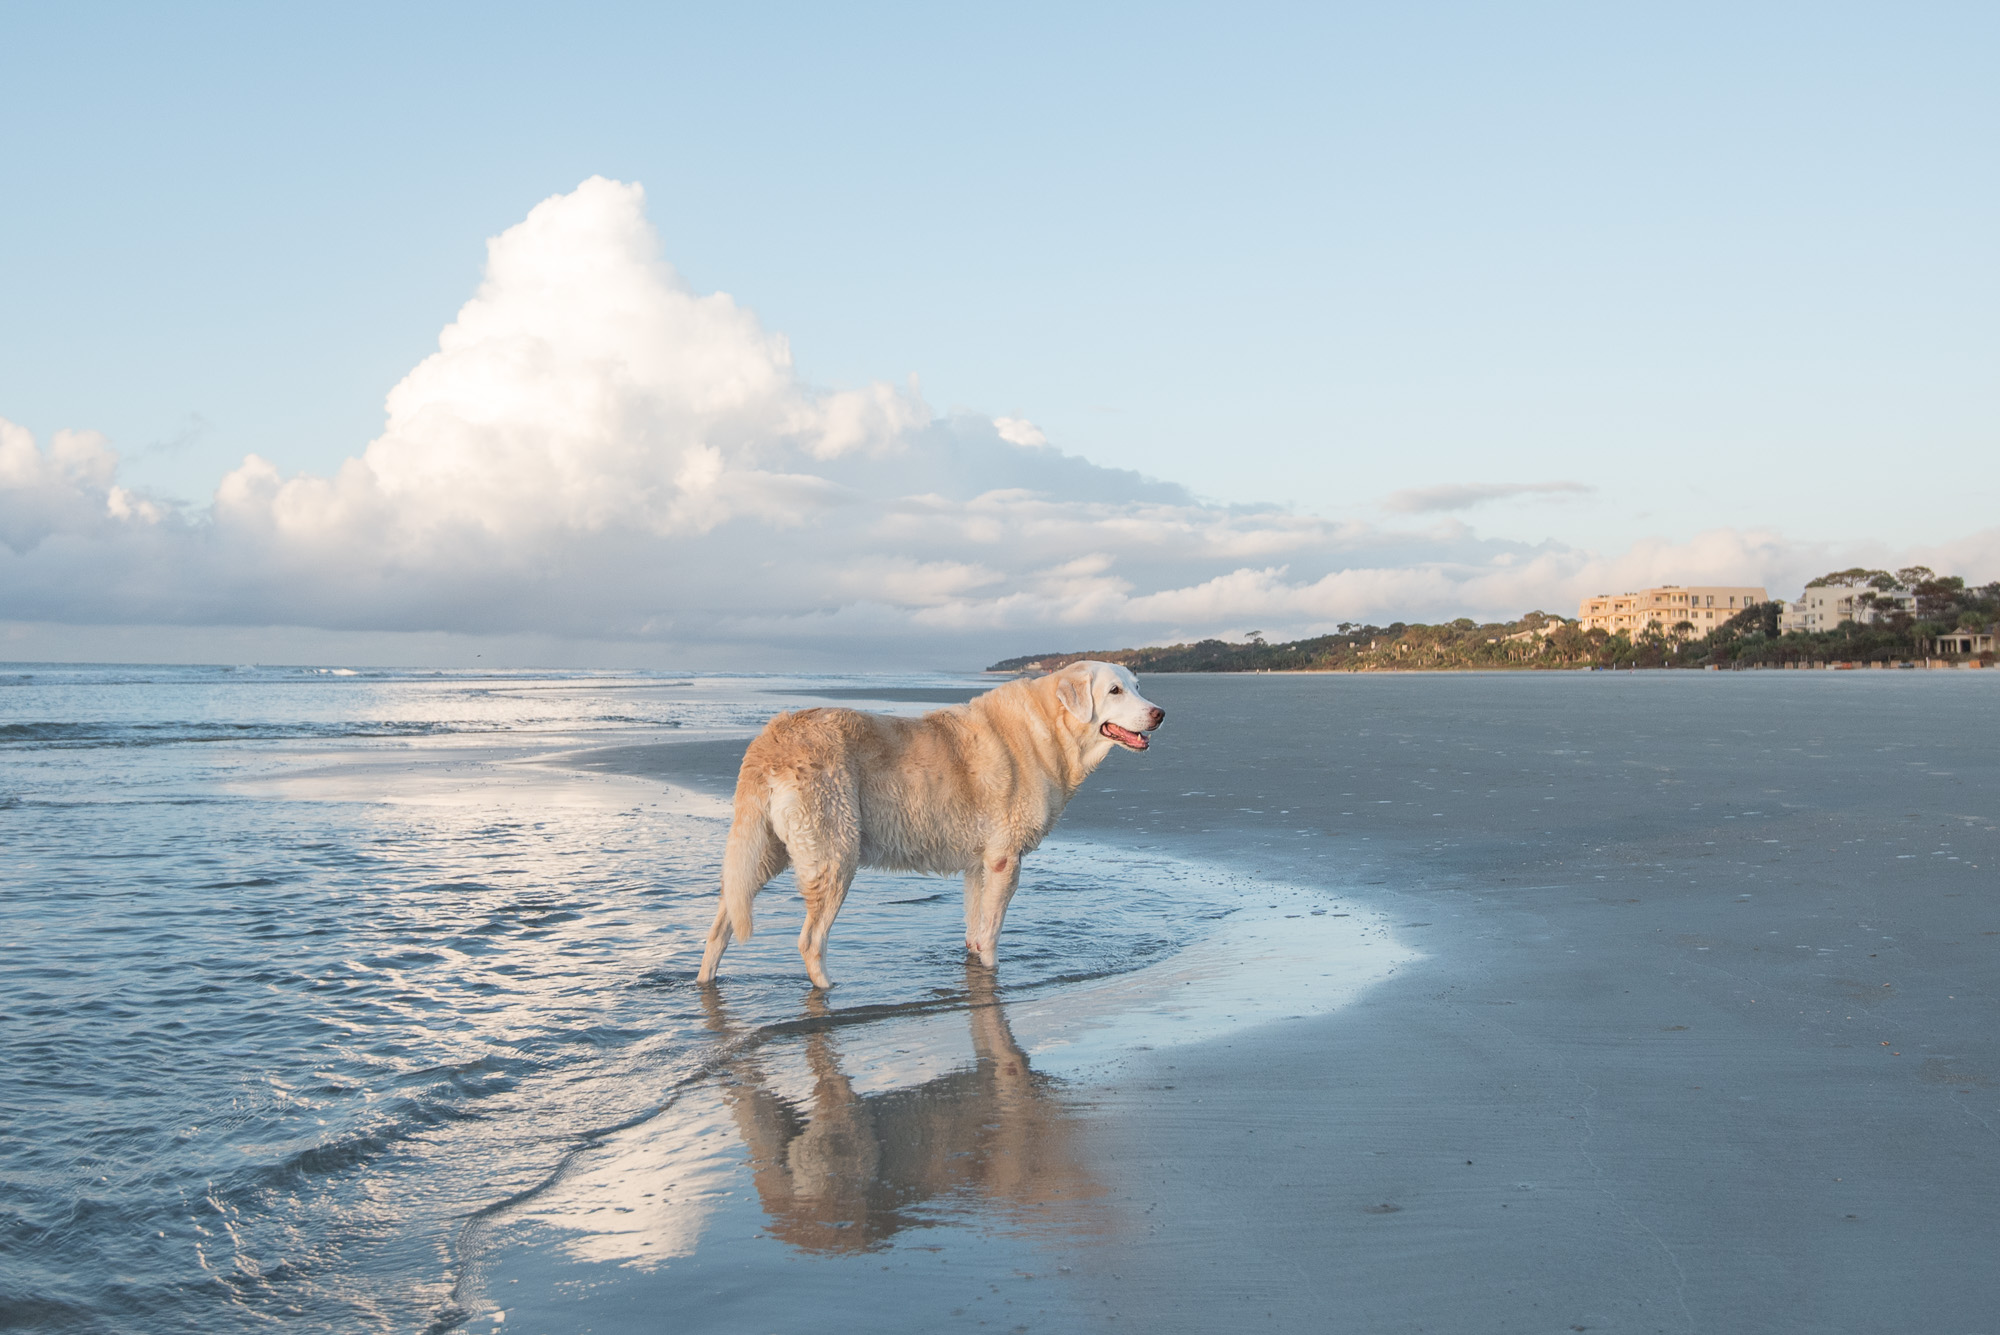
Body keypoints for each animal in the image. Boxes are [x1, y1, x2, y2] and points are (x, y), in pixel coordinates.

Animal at [696, 663, 1168, 987]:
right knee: (810, 941)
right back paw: (829, 990)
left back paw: (705, 983)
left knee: (721, 923)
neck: (1050, 730)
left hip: (764, 850)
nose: (1160, 713)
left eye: (1138, 686)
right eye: (1114, 690)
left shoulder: (979, 865)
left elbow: (975, 931)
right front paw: (993, 976)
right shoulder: (1005, 862)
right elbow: (991, 933)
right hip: (835, 854)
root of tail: (770, 738)